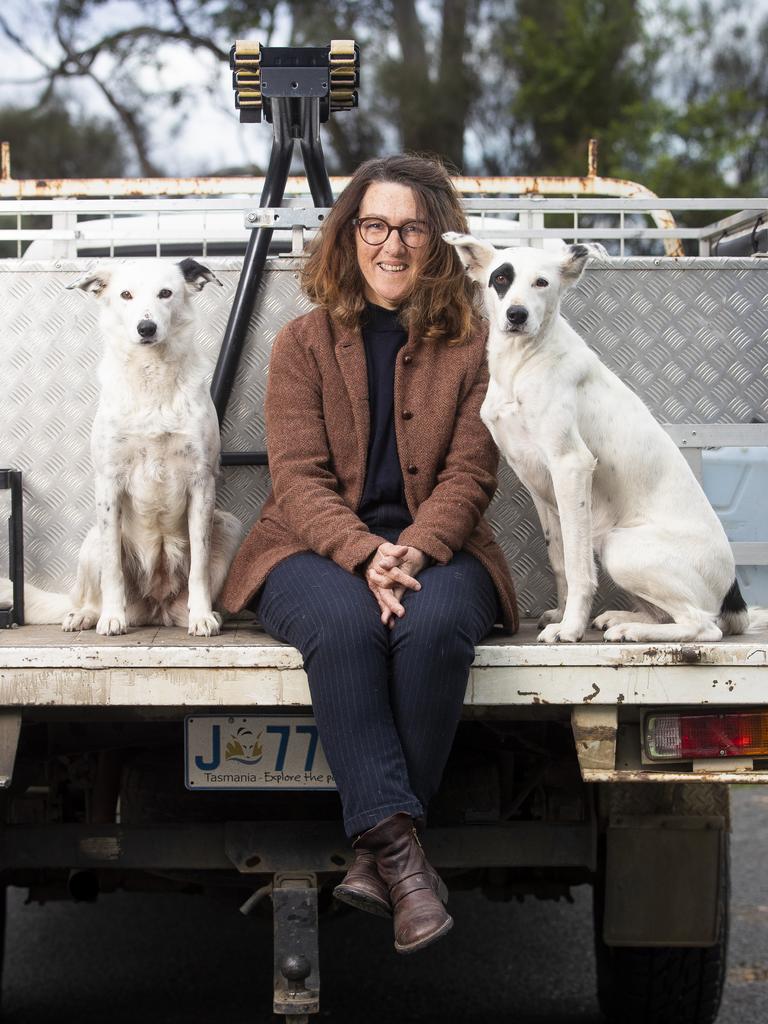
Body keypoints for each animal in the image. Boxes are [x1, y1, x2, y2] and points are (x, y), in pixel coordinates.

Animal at [3, 258, 241, 630]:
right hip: (91, 543)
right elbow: (112, 567)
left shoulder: (202, 481)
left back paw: (198, 614)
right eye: (125, 295)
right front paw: (113, 619)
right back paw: (88, 615)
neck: (151, 376)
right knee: (92, 594)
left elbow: (200, 566)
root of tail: (156, 608)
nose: (146, 328)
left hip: (230, 525)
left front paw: (202, 616)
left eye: (166, 293)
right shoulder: (109, 482)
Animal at [444, 235, 753, 643]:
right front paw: (561, 614)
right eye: (500, 278)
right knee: (670, 615)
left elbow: (578, 566)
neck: (521, 363)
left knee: (702, 625)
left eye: (542, 282)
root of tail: (732, 591)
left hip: (620, 548)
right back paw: (622, 619)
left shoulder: (571, 466)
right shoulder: (540, 484)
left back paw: (633, 631)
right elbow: (560, 560)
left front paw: (570, 627)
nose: (516, 315)